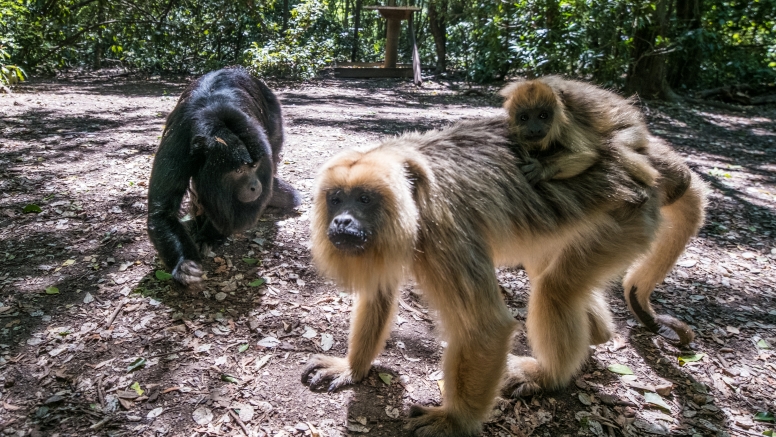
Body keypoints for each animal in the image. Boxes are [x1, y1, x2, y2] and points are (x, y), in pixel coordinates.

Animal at [304, 117, 708, 434]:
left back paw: (548, 376)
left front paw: (455, 422)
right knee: (549, 271)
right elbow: (379, 293)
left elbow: (486, 328)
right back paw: (597, 333)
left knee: (556, 289)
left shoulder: (443, 229)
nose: (341, 221)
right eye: (337, 199)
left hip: (629, 217)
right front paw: (352, 368)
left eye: (364, 199)